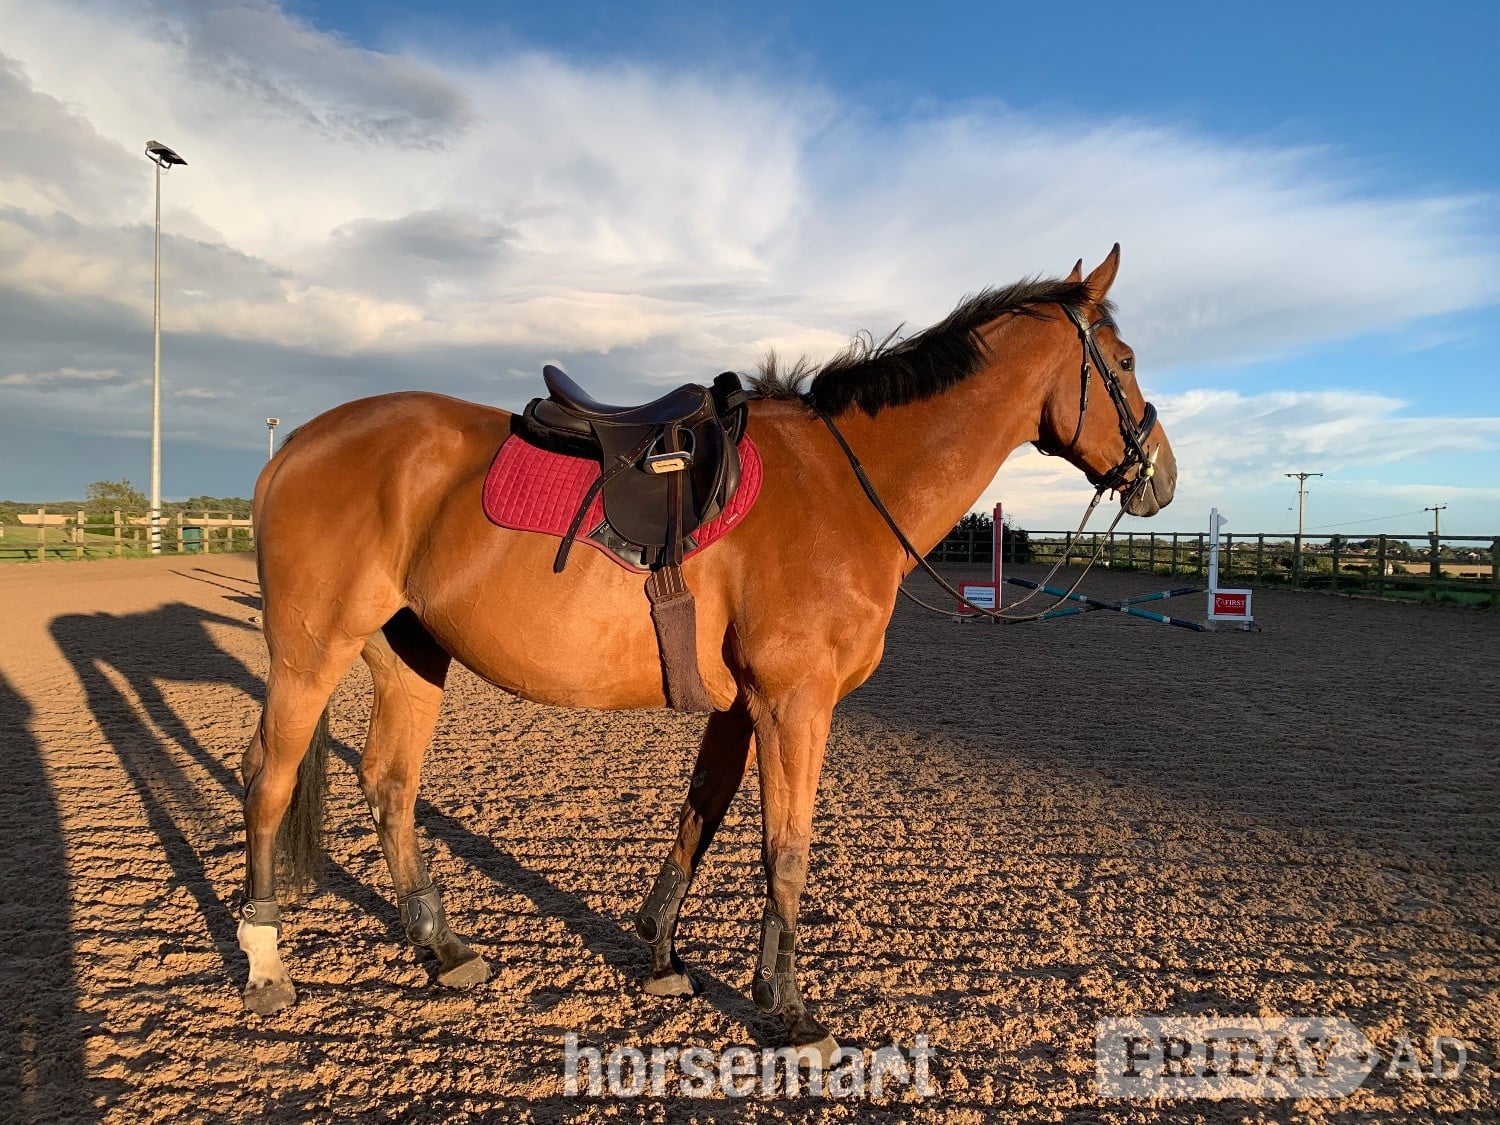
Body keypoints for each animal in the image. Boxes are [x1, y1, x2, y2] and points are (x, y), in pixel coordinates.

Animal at [236, 246, 1176, 1062]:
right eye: (1126, 361)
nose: (1161, 476)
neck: (845, 486)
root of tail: (297, 442)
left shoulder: (740, 706)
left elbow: (699, 817)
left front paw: (660, 952)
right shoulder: (794, 703)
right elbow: (785, 850)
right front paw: (788, 1008)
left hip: (410, 656)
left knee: (390, 784)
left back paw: (441, 946)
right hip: (310, 654)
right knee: (269, 778)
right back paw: (265, 961)